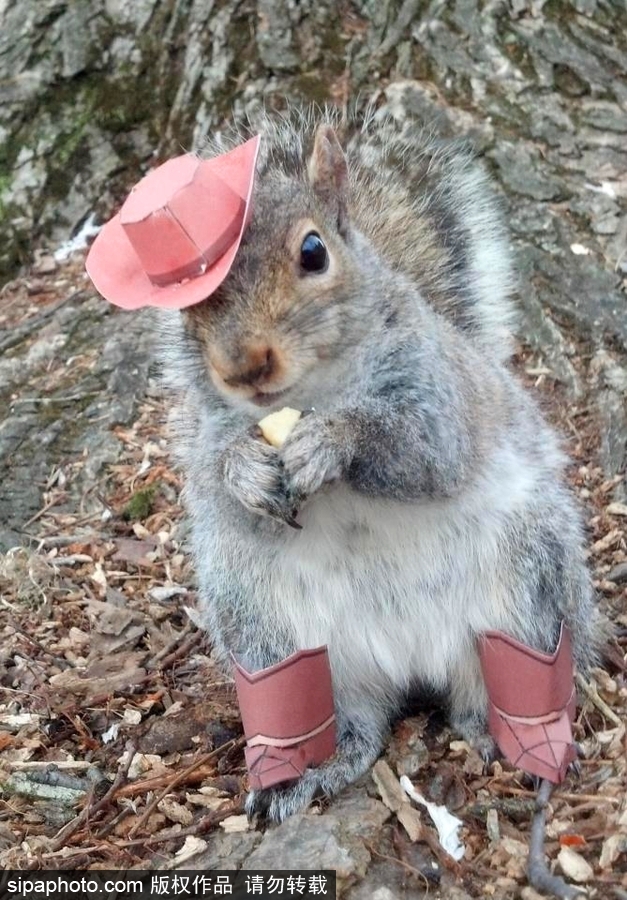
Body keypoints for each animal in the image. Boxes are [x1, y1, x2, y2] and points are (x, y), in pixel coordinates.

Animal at [161, 107, 604, 824]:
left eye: (313, 252)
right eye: (184, 303)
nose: (242, 366)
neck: (312, 392)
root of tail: (410, 663)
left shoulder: (436, 389)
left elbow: (425, 451)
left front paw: (331, 442)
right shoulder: (207, 430)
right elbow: (213, 482)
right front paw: (246, 471)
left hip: (527, 582)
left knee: (506, 672)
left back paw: (510, 737)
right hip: (277, 634)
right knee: (347, 720)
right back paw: (309, 769)